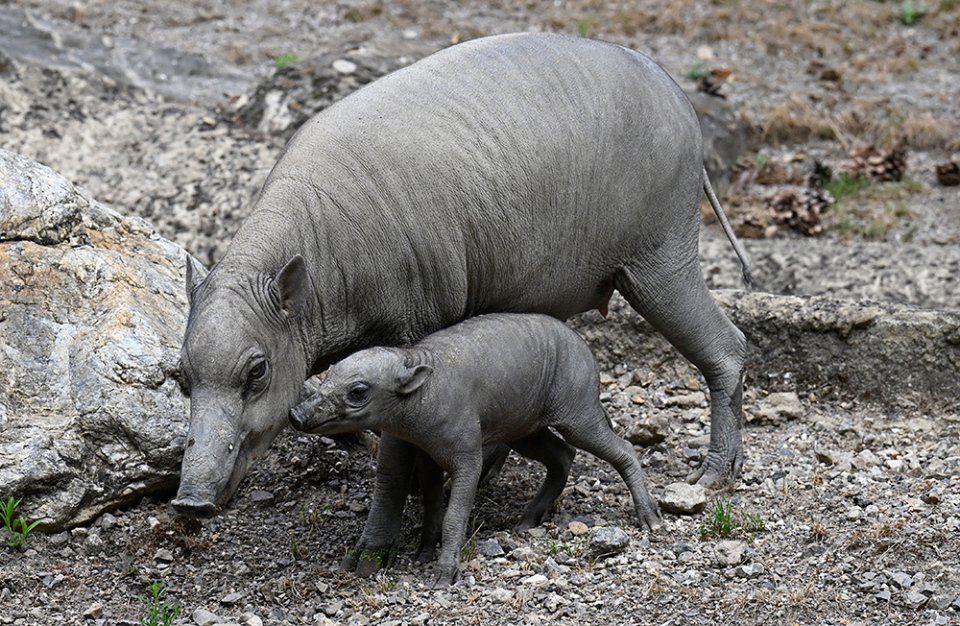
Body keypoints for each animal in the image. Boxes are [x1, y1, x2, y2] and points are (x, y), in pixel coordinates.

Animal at [289, 313, 660, 586]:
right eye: (328, 375)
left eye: (358, 392)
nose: (296, 414)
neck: (424, 393)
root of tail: (589, 354)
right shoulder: (426, 455)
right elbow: (431, 505)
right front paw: (424, 552)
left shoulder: (468, 458)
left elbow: (455, 514)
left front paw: (444, 573)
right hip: (524, 429)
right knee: (563, 456)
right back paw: (529, 518)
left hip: (577, 415)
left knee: (623, 449)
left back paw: (650, 516)